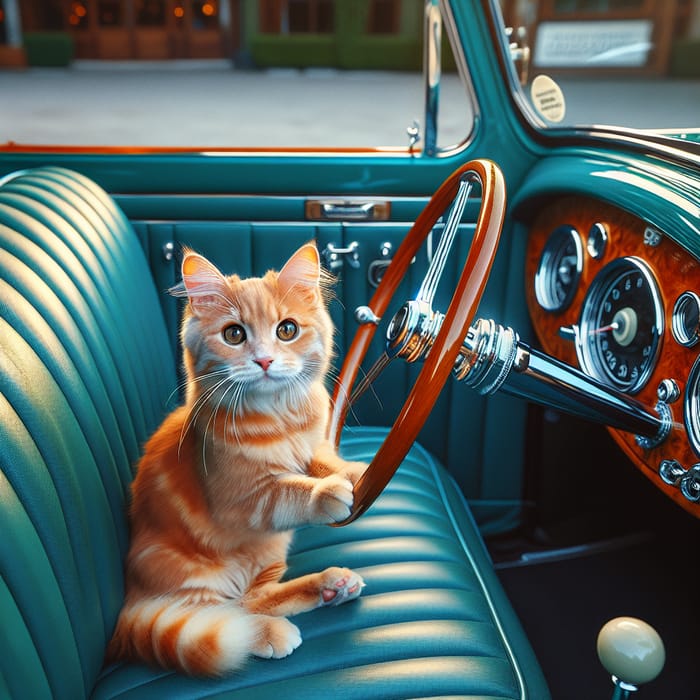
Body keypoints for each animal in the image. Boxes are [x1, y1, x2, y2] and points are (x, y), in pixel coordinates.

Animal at [107, 243, 370, 676]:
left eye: (287, 330)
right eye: (234, 335)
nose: (263, 361)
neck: (280, 417)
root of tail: (130, 599)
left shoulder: (309, 447)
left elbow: (319, 462)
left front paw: (352, 472)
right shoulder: (239, 500)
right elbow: (290, 490)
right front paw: (327, 494)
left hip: (270, 550)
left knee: (257, 596)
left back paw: (330, 587)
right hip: (198, 578)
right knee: (232, 611)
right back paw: (269, 633)